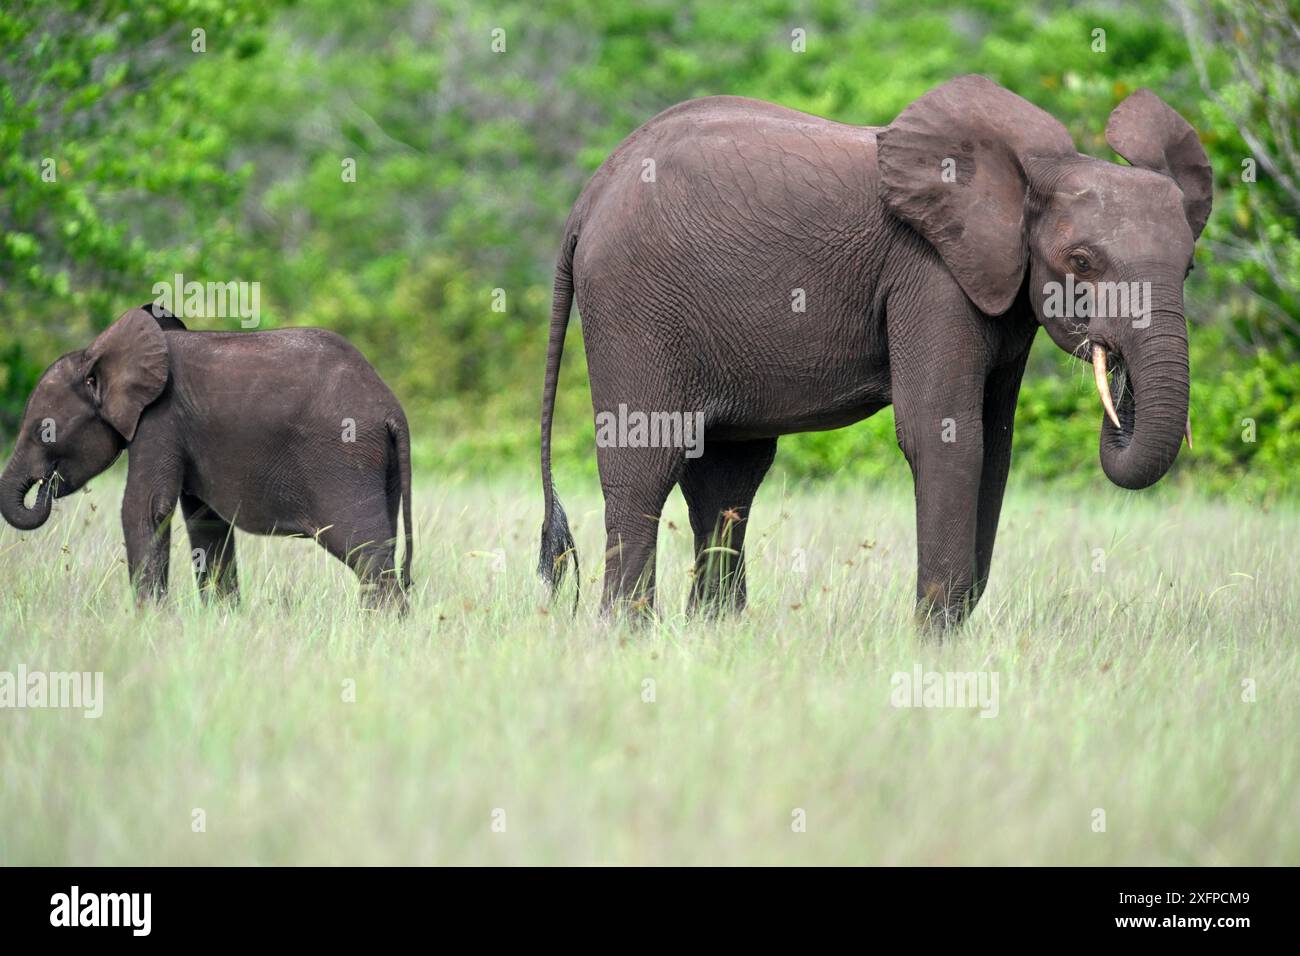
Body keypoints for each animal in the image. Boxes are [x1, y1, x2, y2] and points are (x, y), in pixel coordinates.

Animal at [0, 303, 413, 608]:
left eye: (43, 430)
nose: (47, 484)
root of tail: (392, 408)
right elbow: (207, 524)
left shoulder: (160, 420)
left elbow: (145, 508)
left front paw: (151, 624)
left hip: (346, 459)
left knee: (366, 553)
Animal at [533, 76, 1211, 629]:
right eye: (1082, 262)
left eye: (1188, 268)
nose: (1114, 371)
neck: (1026, 176)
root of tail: (589, 195)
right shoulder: (929, 271)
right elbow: (945, 432)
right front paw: (934, 640)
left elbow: (996, 444)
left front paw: (950, 626)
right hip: (634, 300)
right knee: (649, 461)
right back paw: (627, 633)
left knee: (727, 476)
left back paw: (716, 631)